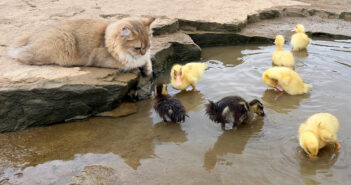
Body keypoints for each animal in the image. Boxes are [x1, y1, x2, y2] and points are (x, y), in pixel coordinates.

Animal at [8, 16, 155, 76]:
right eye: (138, 48)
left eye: (148, 46)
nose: (143, 52)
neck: (105, 38)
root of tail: (32, 36)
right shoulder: (112, 61)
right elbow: (134, 62)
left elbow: (147, 60)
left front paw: (148, 69)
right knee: (21, 54)